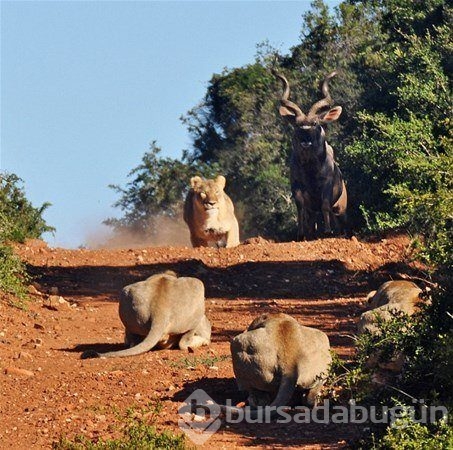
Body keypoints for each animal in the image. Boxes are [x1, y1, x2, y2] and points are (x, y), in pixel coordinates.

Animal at [276, 70, 346, 239]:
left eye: (315, 123)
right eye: (297, 124)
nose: (305, 140)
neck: (310, 171)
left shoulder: (326, 184)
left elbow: (325, 205)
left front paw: (327, 231)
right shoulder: (297, 187)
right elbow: (301, 208)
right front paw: (301, 234)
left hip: (341, 206)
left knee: (336, 215)